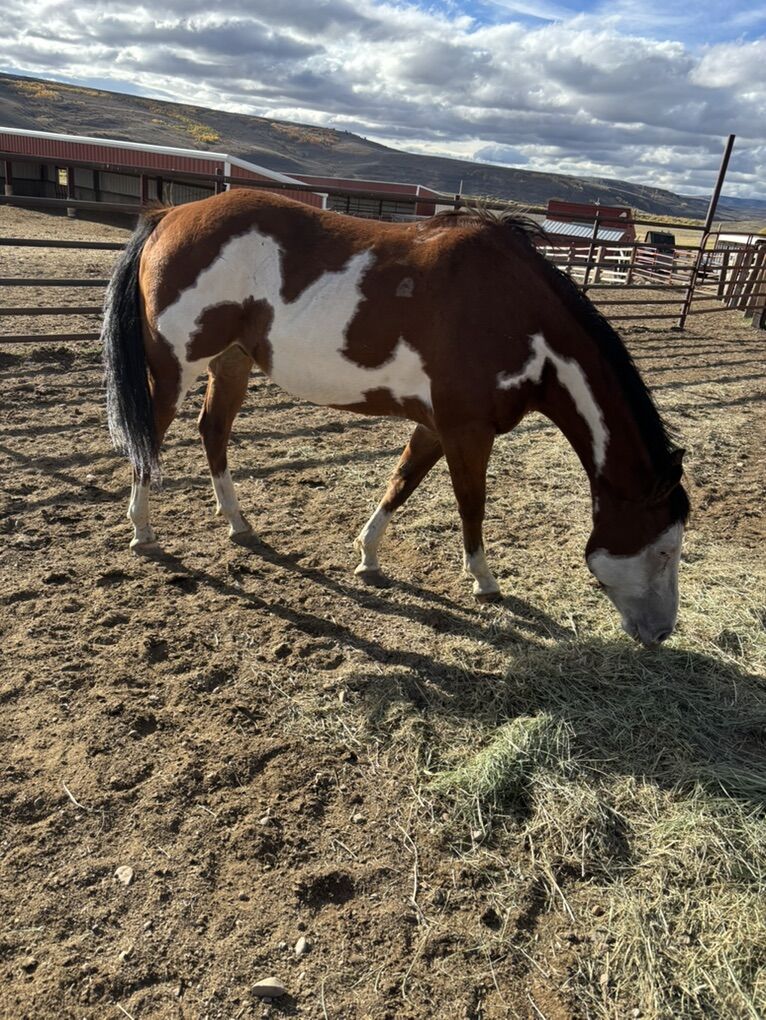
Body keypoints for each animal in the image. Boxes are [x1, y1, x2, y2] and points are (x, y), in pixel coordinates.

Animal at [102, 189, 689, 647]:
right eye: (664, 548)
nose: (661, 633)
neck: (515, 313)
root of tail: (168, 216)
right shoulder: (467, 432)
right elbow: (471, 504)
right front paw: (484, 581)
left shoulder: (436, 426)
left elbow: (401, 482)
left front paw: (367, 556)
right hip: (175, 369)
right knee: (149, 437)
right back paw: (142, 530)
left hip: (232, 360)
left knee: (214, 431)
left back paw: (238, 524)